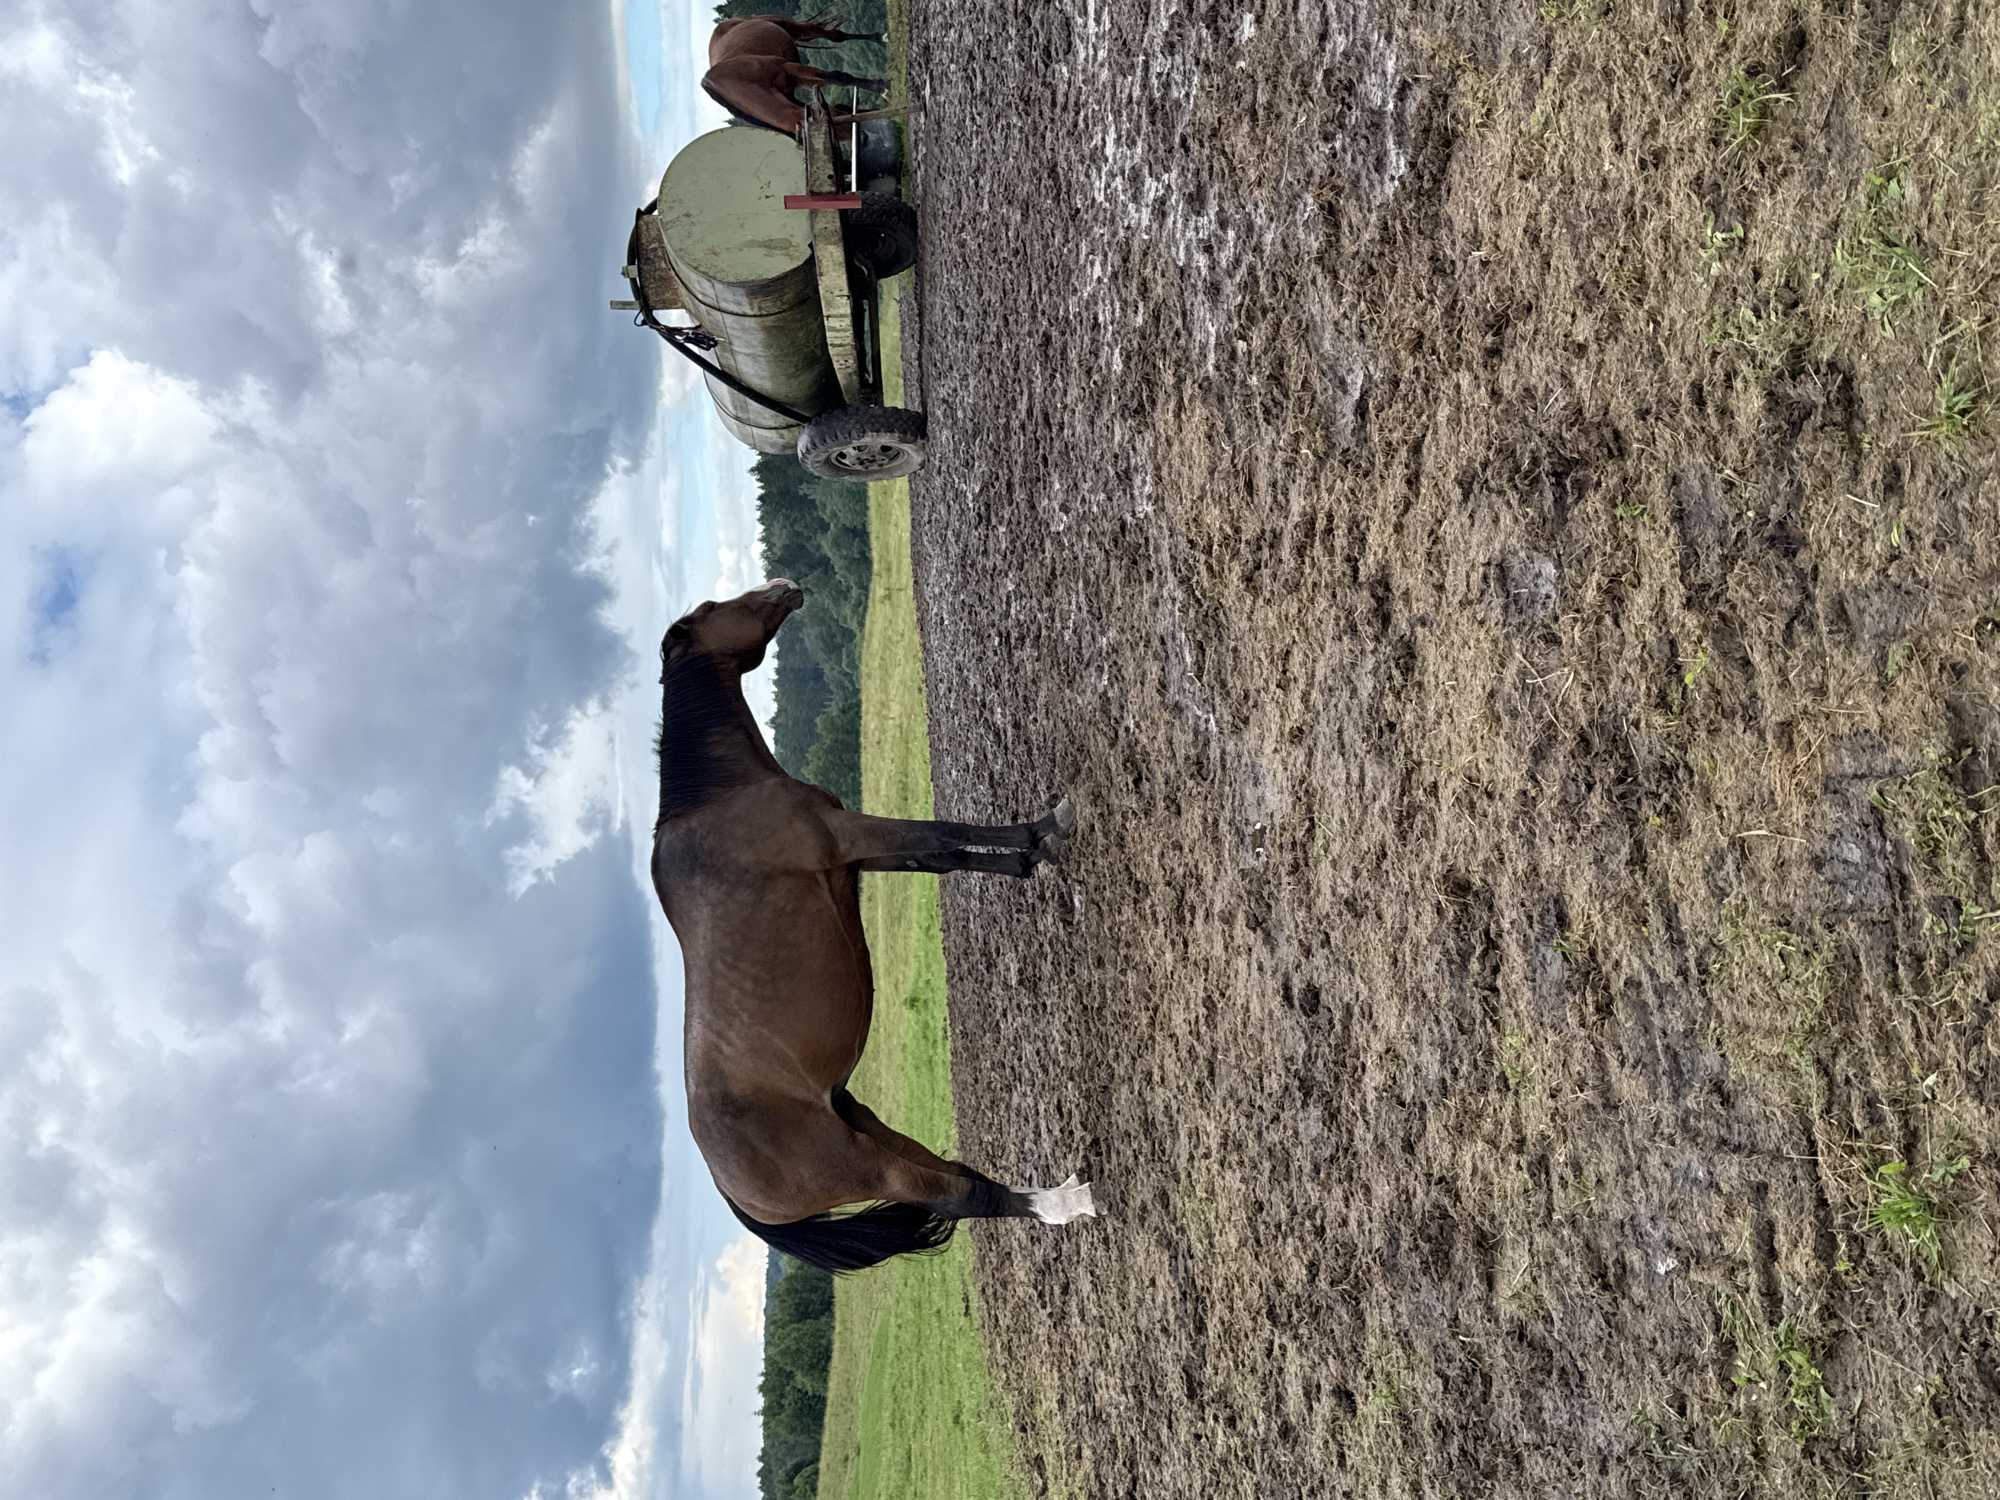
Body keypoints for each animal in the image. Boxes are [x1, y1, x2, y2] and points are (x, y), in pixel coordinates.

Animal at [651, 580, 1097, 1273]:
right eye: (711, 611)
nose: (783, 587)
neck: (718, 796)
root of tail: (733, 1190)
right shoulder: (848, 836)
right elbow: (940, 832)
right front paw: (1045, 829)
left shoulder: (858, 858)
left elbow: (942, 856)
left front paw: (1030, 854)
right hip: (869, 1167)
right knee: (962, 1194)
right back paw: (1062, 1203)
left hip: (866, 1124)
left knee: (956, 1180)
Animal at [703, 15, 894, 138]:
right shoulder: (801, 81)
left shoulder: (789, 68)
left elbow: (839, 77)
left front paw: (884, 87)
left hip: (789, 26)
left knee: (834, 36)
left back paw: (882, 37)